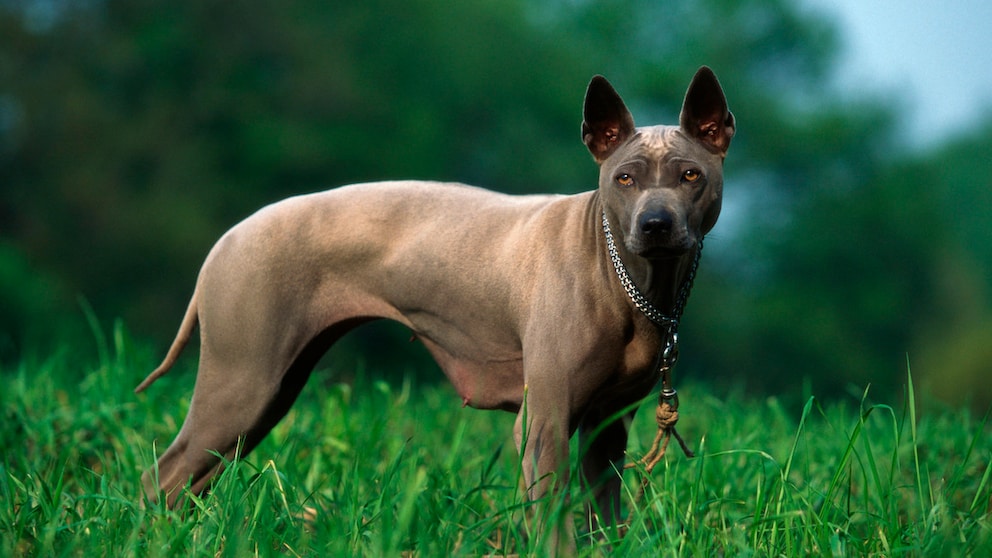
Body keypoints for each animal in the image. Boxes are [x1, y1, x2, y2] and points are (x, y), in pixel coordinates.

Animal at [138, 66, 728, 552]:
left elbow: (603, 521)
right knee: (164, 474)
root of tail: (227, 239)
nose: (655, 224)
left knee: (189, 481)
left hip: (271, 393)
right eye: (624, 178)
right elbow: (553, 522)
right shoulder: (544, 423)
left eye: (690, 176)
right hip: (244, 384)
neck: (624, 278)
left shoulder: (608, 430)